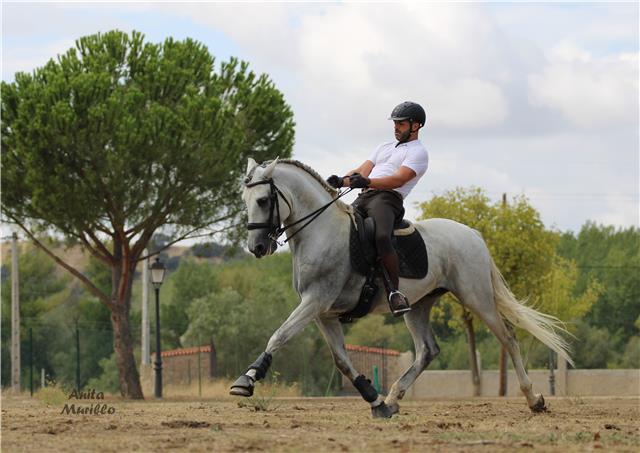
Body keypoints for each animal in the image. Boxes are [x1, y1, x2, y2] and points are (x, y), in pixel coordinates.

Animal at [232, 158, 572, 416]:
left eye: (263, 200)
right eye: (245, 201)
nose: (257, 247)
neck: (321, 232)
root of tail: (473, 234)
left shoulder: (315, 301)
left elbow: (279, 335)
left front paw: (246, 381)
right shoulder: (323, 312)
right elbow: (341, 360)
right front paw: (375, 399)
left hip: (477, 297)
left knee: (509, 338)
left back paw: (534, 399)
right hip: (417, 305)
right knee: (427, 350)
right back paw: (394, 397)